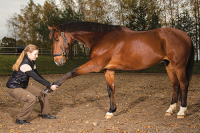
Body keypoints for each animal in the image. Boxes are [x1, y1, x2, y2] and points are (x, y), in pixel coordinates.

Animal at [48, 21, 194, 119]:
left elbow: (71, 72)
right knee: (175, 85)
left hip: (179, 66)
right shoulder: (108, 70)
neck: (102, 38)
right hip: (169, 65)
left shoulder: (95, 65)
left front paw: (51, 87)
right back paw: (170, 109)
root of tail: (186, 36)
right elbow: (110, 89)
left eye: (57, 39)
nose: (57, 61)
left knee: (183, 84)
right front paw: (111, 110)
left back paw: (181, 111)